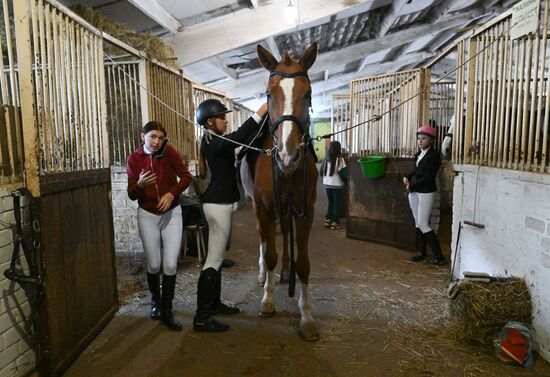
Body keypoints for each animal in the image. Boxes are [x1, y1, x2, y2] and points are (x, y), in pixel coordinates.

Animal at [242, 41, 320, 340]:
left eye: (307, 93)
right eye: (268, 93)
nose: (288, 155)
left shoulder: (305, 210)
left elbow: (305, 264)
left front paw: (307, 316)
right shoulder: (265, 208)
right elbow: (270, 253)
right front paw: (268, 301)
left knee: (285, 235)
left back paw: (287, 270)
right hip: (259, 208)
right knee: (265, 242)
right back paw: (265, 275)